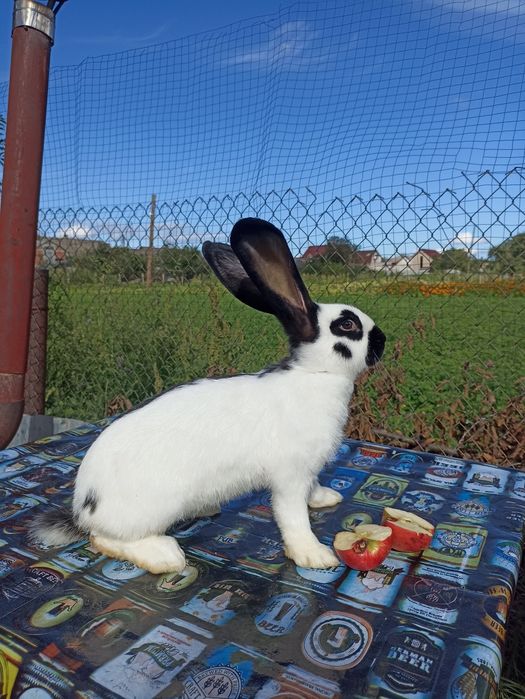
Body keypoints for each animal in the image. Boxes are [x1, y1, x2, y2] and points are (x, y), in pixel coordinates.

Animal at [29, 218, 386, 574]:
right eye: (348, 325)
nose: (382, 340)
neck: (315, 373)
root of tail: (84, 508)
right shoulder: (291, 475)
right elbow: (293, 517)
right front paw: (314, 555)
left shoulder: (308, 472)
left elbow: (312, 491)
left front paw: (327, 498)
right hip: (152, 508)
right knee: (106, 539)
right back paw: (165, 555)